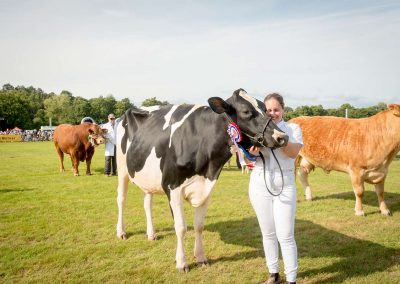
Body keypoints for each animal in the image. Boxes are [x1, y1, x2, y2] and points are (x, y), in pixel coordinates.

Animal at [115, 90, 288, 272]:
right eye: (246, 111)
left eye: (266, 109)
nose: (282, 137)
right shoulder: (172, 186)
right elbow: (181, 227)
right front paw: (182, 263)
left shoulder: (206, 187)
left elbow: (198, 225)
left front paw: (200, 258)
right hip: (122, 169)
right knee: (121, 199)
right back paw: (121, 232)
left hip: (147, 177)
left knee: (147, 203)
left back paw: (151, 234)